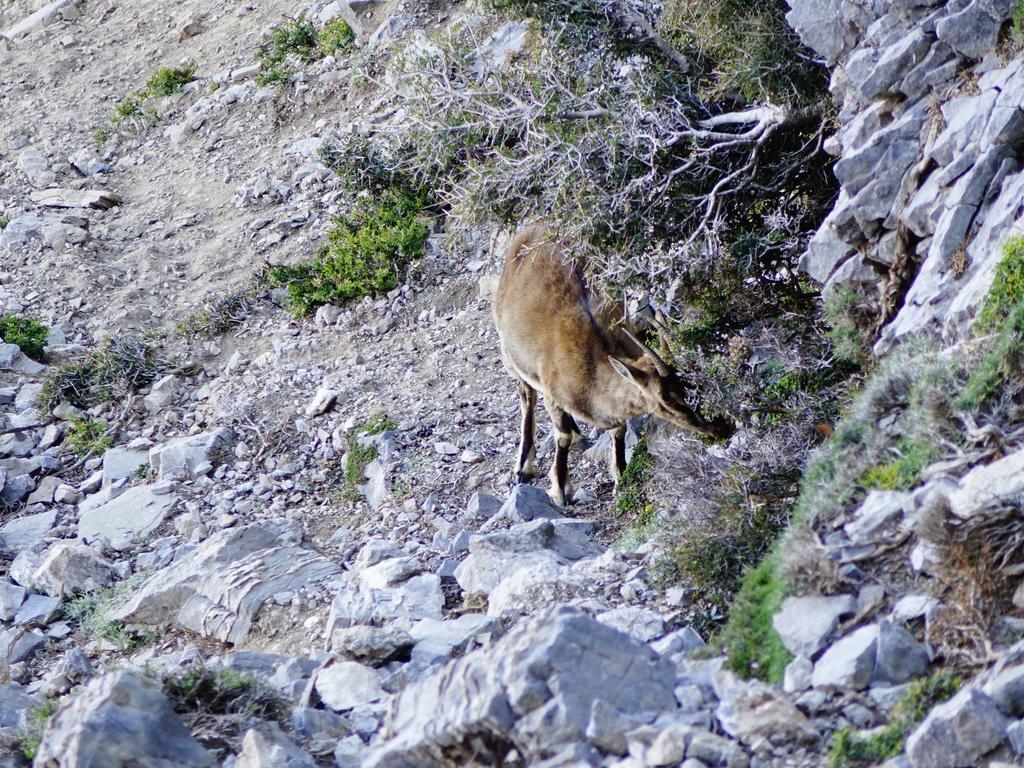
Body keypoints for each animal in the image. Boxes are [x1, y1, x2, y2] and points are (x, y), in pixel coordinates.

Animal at [491, 225, 733, 507]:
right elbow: (561, 436)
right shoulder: (552, 392)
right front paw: (560, 490)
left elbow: (619, 430)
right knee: (526, 397)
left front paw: (621, 477)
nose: (719, 428)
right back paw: (523, 467)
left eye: (691, 383)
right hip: (509, 351)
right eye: (667, 400)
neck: (591, 367)